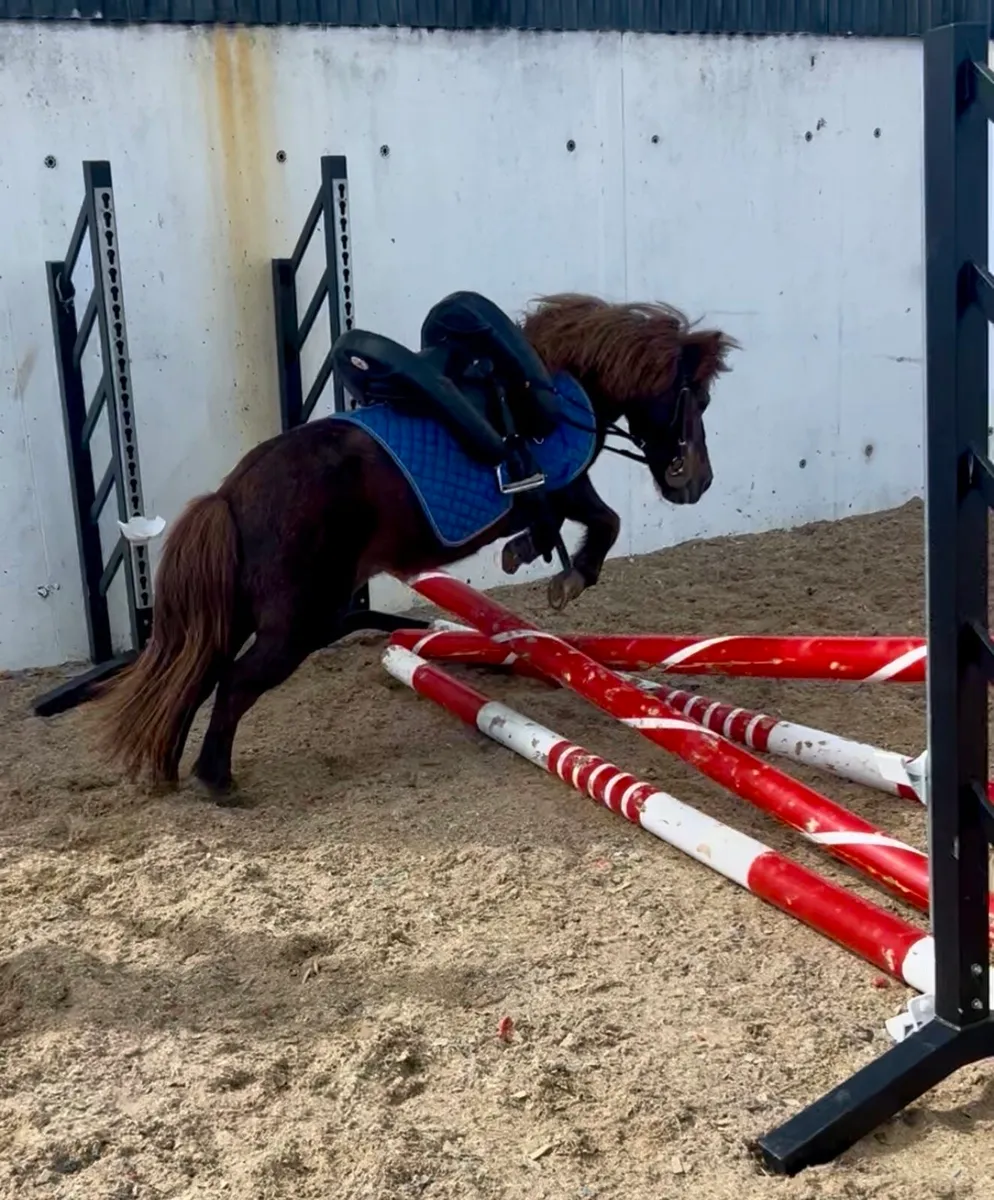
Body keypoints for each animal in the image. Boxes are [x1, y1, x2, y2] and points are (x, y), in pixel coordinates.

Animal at [87, 289, 737, 800]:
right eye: (699, 401)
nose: (699, 482)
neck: (552, 388)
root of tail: (232, 493)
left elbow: (569, 526)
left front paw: (526, 552)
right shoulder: (565, 484)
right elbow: (604, 523)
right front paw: (564, 575)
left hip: (247, 615)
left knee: (195, 675)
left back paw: (171, 768)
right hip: (298, 624)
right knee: (234, 683)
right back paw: (216, 779)